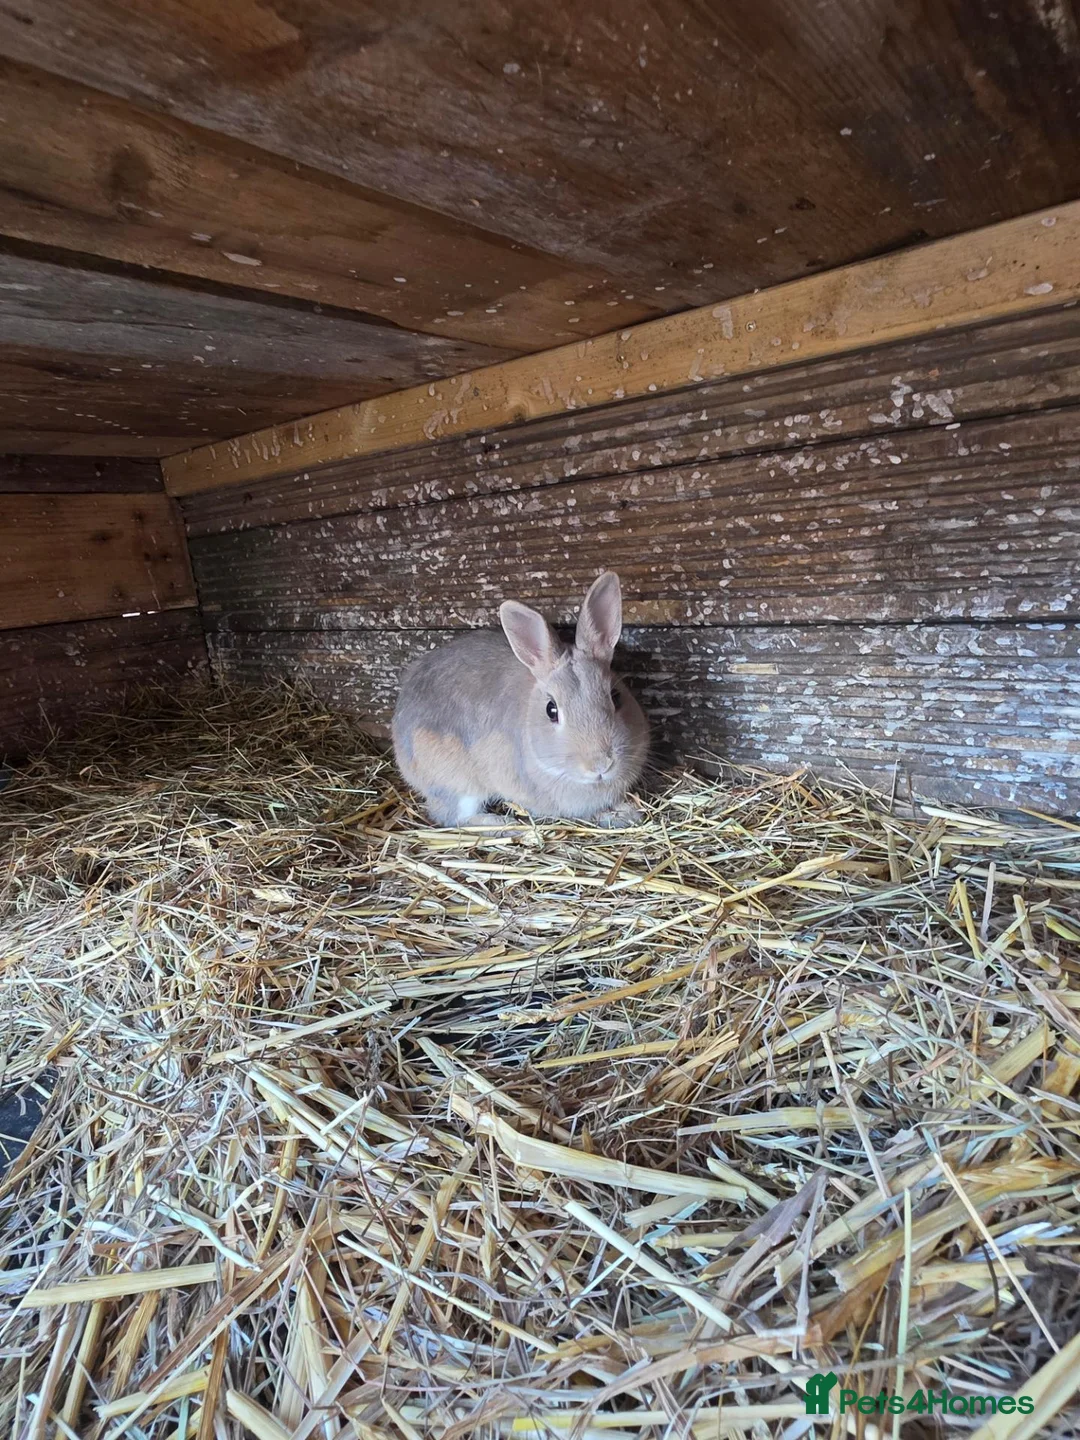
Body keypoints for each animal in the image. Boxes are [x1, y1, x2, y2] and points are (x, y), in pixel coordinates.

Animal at [392, 572, 648, 828]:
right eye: (551, 710)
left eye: (616, 697)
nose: (600, 764)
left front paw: (627, 812)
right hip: (458, 785)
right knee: (456, 817)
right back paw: (503, 826)